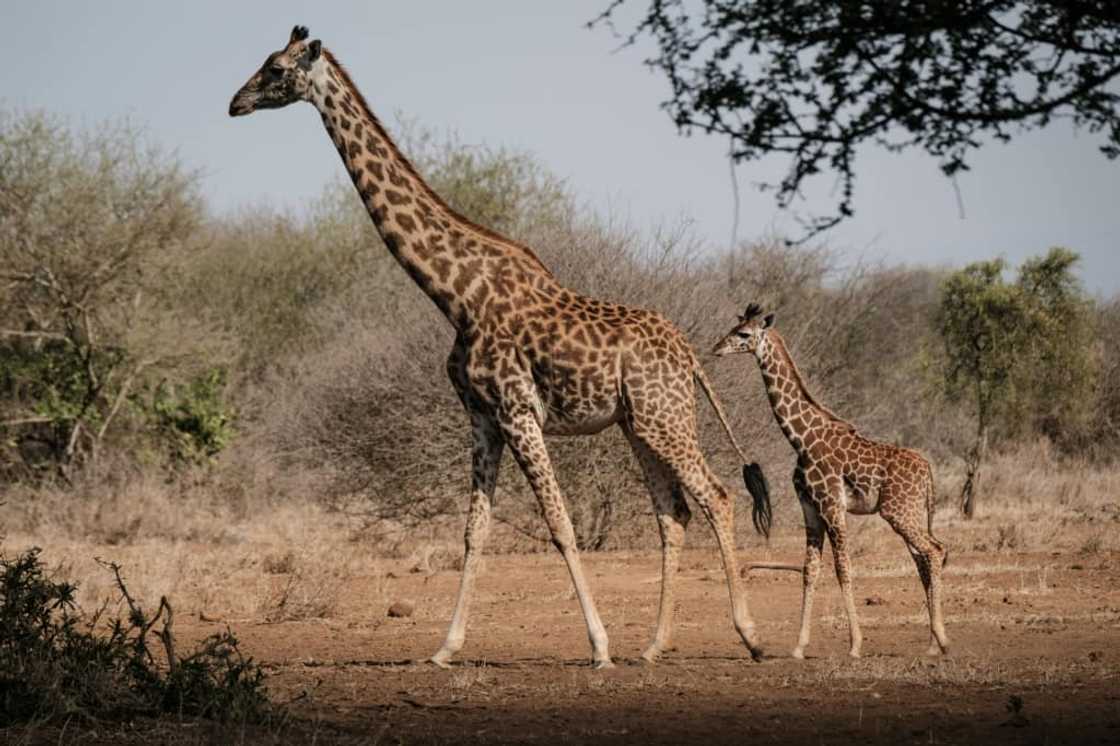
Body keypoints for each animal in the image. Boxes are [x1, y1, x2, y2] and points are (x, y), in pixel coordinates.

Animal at [229, 26, 770, 663]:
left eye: (276, 69)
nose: (235, 103)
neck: (456, 293)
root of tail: (688, 354)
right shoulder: (482, 416)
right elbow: (474, 531)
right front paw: (445, 647)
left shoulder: (517, 411)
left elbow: (559, 523)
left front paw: (599, 646)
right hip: (638, 424)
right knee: (675, 512)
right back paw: (654, 646)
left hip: (666, 418)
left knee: (717, 497)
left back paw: (750, 636)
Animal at [716, 304, 945, 658]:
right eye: (735, 327)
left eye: (743, 333)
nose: (716, 348)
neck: (801, 439)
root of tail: (928, 471)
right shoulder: (810, 507)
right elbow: (810, 571)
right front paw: (799, 647)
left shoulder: (831, 504)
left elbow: (842, 568)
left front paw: (855, 645)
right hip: (911, 513)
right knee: (925, 558)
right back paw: (932, 643)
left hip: (898, 512)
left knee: (934, 551)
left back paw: (942, 640)